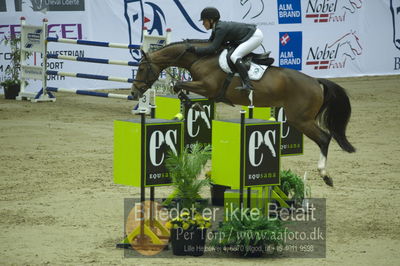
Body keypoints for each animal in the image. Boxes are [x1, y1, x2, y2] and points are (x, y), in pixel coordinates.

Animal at [132, 40, 356, 186]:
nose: (134, 92)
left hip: (300, 119)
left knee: (324, 138)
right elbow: (178, 87)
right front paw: (195, 107)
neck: (200, 58)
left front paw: (195, 107)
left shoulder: (207, 87)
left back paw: (325, 175)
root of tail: (316, 81)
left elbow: (177, 85)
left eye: (142, 69)